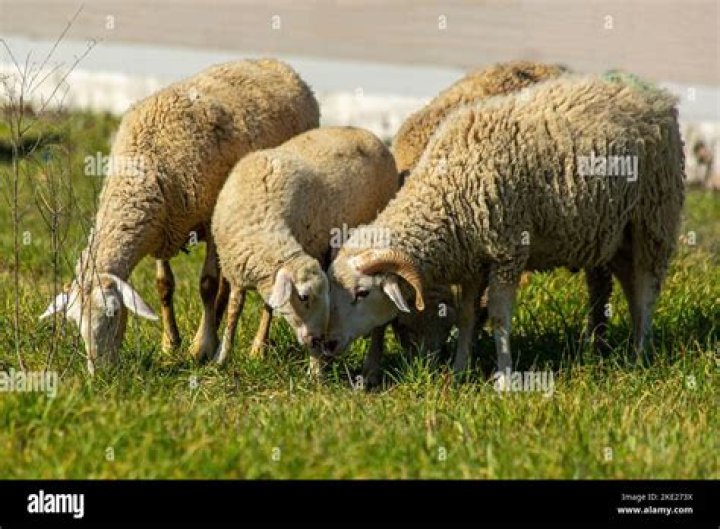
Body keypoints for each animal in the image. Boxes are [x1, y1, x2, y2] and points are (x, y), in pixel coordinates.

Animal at [39, 59, 320, 373]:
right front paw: (170, 344)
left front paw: (201, 347)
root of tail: (280, 65)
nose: (98, 374)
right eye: (74, 320)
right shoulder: (163, 222)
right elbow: (164, 285)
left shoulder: (207, 219)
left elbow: (207, 285)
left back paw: (257, 349)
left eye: (113, 313)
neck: (144, 168)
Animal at [211, 126, 399, 367]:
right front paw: (222, 357)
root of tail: (368, 133)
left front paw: (258, 349)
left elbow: (267, 307)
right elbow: (235, 311)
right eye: (303, 297)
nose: (317, 340)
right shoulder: (236, 272)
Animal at [323, 74, 685, 387]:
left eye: (362, 293)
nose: (328, 343)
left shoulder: (508, 249)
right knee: (631, 286)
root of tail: (657, 96)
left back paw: (640, 355)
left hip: (653, 217)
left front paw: (505, 378)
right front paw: (459, 371)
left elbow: (498, 316)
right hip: (617, 232)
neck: (448, 189)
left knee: (648, 289)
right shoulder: (472, 258)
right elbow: (467, 316)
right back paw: (630, 348)